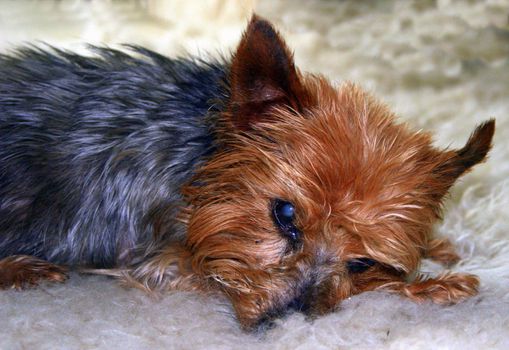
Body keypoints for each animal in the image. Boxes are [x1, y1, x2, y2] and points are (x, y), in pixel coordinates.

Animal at [0, 15, 492, 330]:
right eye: (285, 215)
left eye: (362, 262)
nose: (286, 319)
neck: (202, 156)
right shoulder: (163, 258)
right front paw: (434, 285)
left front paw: (441, 250)